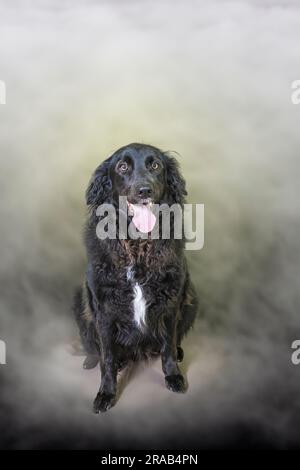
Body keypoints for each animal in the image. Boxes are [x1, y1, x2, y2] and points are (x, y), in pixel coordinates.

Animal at [74, 142, 198, 412]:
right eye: (122, 167)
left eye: (156, 165)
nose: (144, 190)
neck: (138, 247)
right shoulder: (104, 310)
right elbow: (108, 358)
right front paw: (106, 393)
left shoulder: (171, 302)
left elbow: (168, 347)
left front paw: (173, 376)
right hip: (79, 302)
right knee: (95, 348)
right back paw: (90, 359)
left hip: (192, 298)